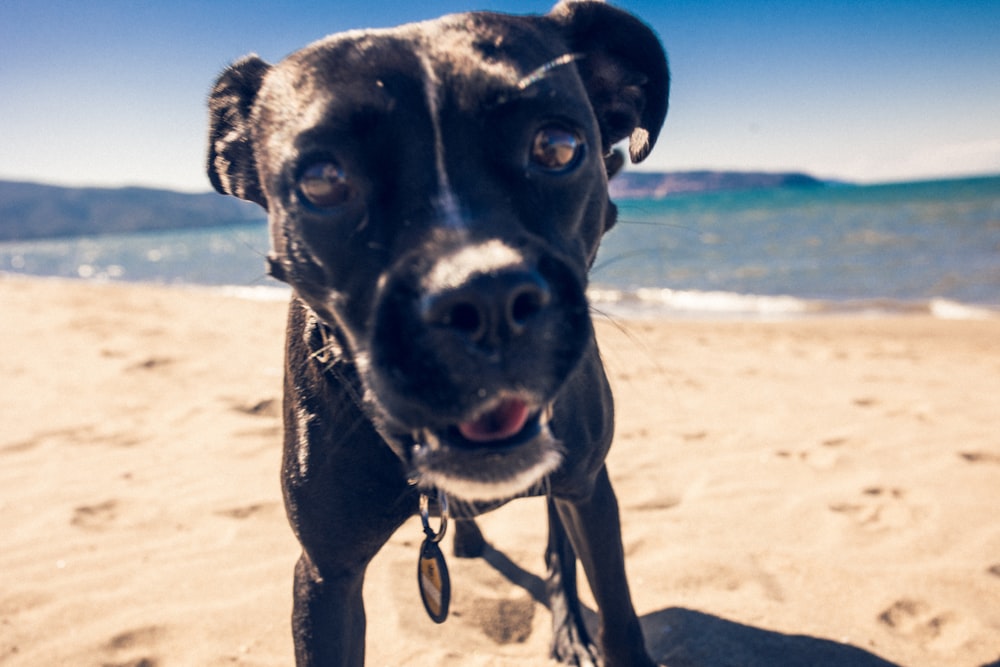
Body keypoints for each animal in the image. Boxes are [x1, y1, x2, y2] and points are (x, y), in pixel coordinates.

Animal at [207, 3, 668, 664]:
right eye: (322, 180)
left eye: (557, 147)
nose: (486, 301)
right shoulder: (326, 575)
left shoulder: (589, 490)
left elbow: (618, 613)